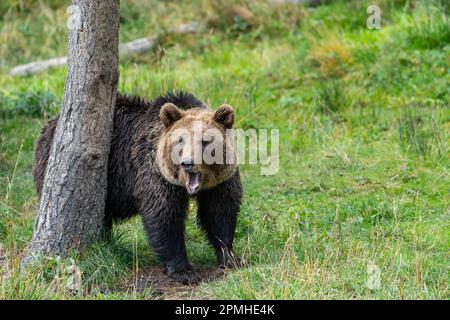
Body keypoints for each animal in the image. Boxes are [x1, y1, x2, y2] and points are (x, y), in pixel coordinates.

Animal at [33, 91, 244, 284]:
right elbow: (164, 217)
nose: (187, 163)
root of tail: (50, 124)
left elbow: (219, 212)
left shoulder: (220, 182)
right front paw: (184, 271)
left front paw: (230, 257)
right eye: (180, 140)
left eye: (205, 140)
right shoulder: (154, 173)